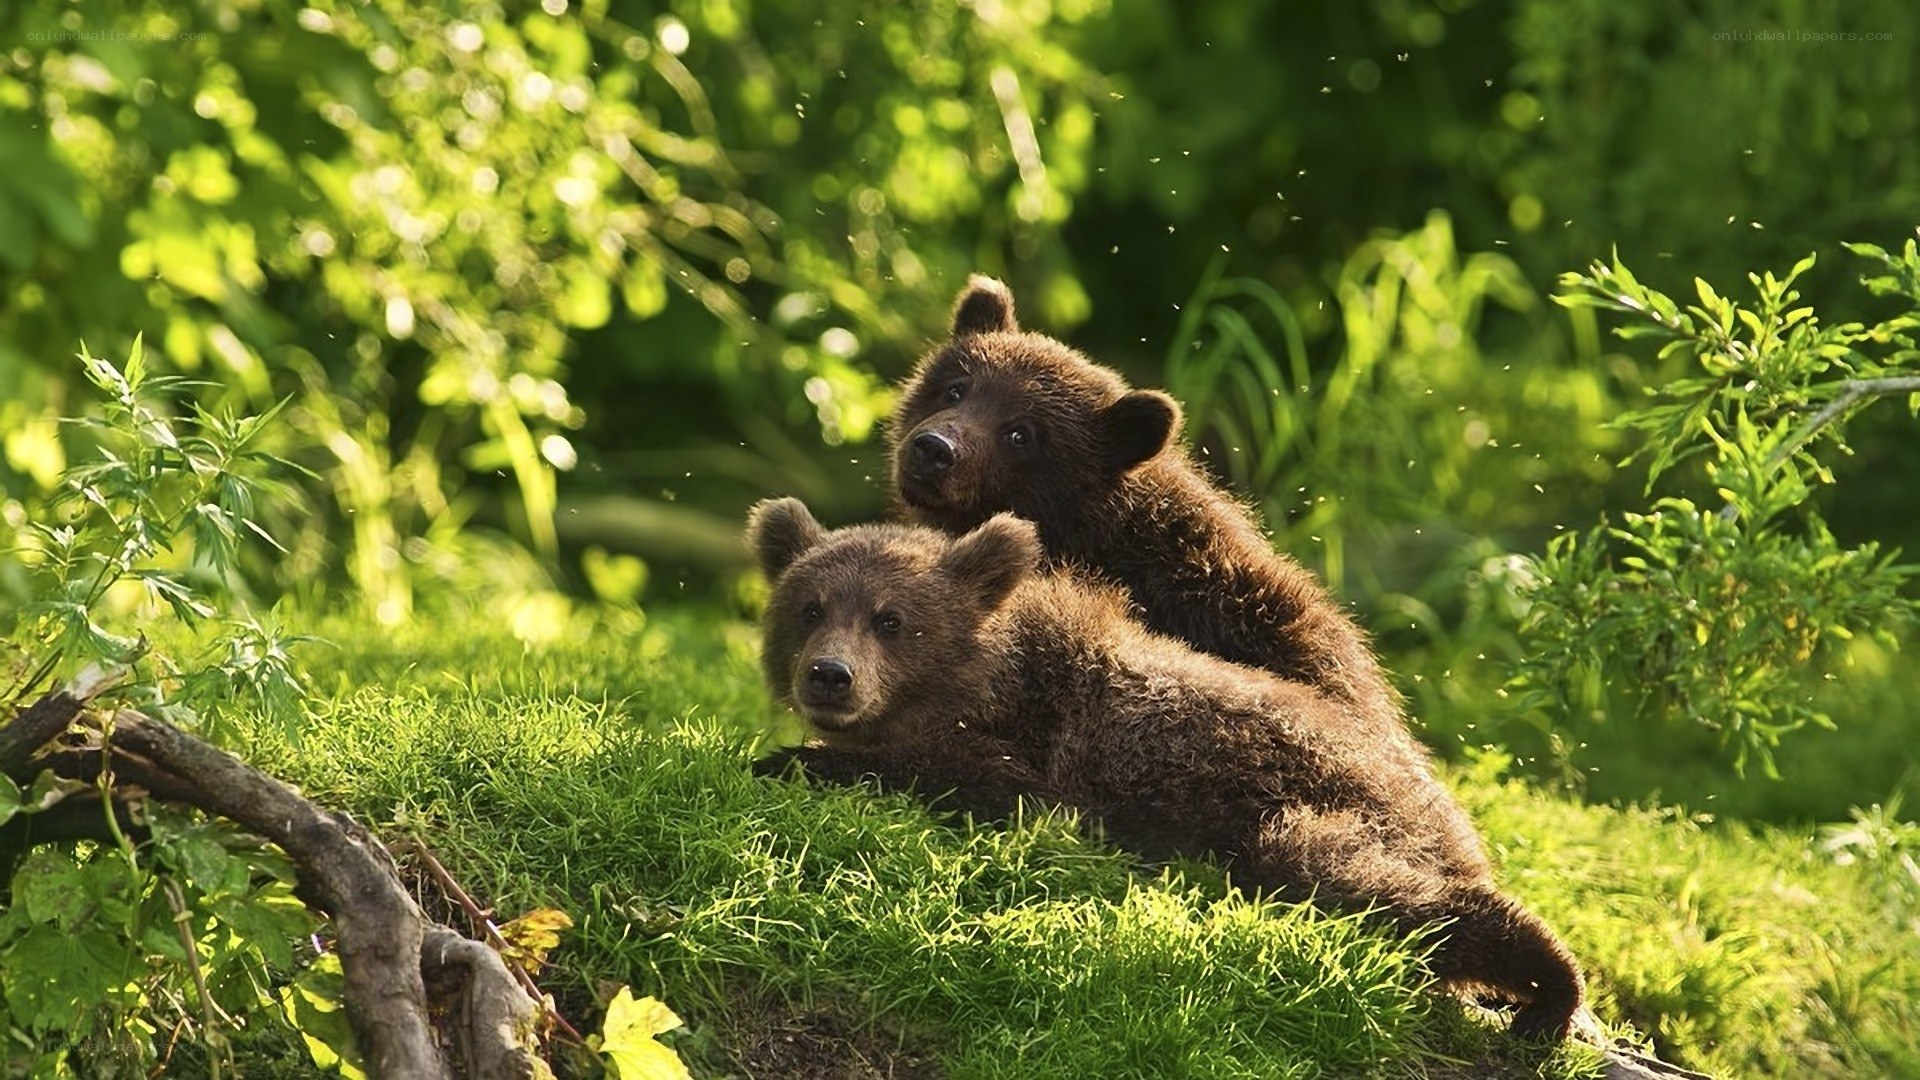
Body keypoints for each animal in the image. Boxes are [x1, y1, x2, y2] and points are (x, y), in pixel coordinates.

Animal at [747, 497, 1586, 1041]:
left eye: (891, 619)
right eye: (809, 607)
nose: (829, 676)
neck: (988, 680)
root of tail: (1450, 814)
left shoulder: (1047, 757)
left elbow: (971, 779)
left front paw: (787, 758)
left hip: (1327, 809)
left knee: (1361, 881)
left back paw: (1548, 985)